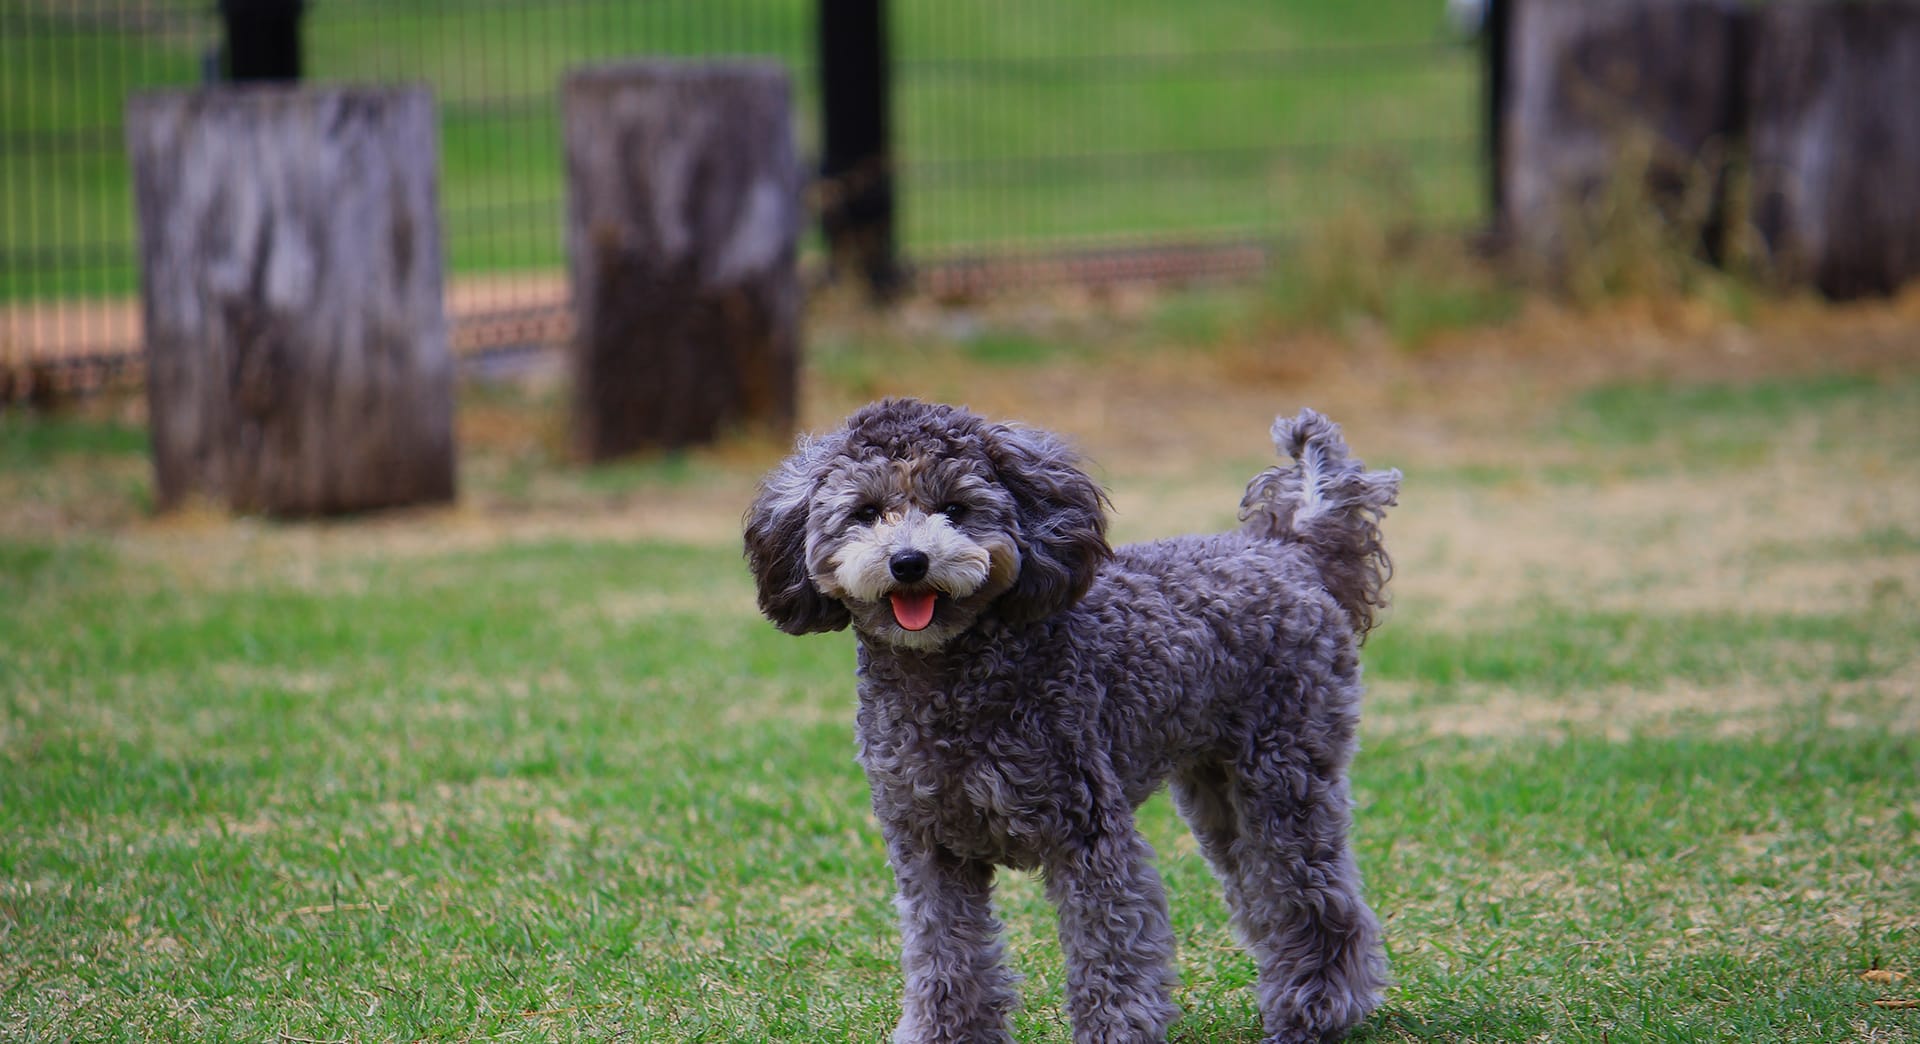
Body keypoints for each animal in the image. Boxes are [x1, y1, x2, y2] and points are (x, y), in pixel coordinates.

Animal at [744, 399, 1397, 1044]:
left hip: (1284, 773)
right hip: (1217, 791)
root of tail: (1290, 550)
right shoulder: (929, 850)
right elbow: (946, 957)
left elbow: (1110, 952)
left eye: (955, 508)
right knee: (1264, 892)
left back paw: (1316, 1009)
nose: (908, 561)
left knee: (1309, 894)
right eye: (867, 513)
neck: (949, 678)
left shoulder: (1087, 835)